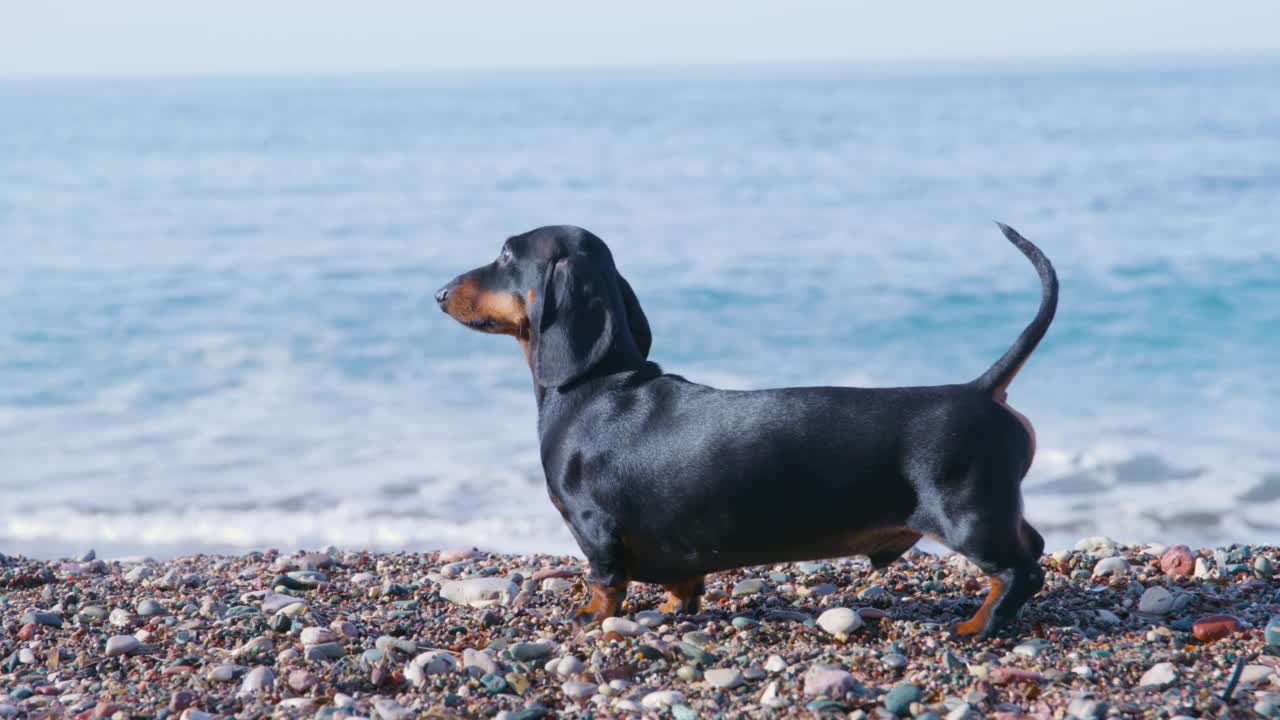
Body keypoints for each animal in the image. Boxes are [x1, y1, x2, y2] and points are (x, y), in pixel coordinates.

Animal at [435, 222, 1054, 632]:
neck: (596, 385)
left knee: (1019, 570)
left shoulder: (594, 527)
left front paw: (590, 616)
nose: (438, 293)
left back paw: (978, 626)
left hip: (970, 519)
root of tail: (980, 388)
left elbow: (604, 580)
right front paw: (673, 608)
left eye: (506, 253)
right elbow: (683, 579)